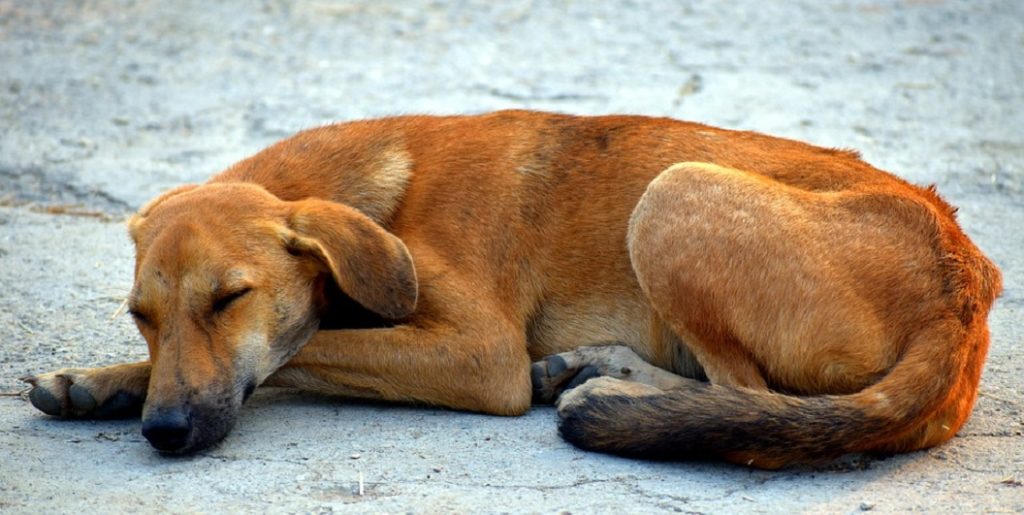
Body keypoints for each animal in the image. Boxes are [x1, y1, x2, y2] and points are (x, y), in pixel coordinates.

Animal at [22, 110, 999, 466]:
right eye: (141, 317)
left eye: (231, 299)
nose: (165, 433)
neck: (387, 194)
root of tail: (964, 285)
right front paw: (99, 381)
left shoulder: (480, 355)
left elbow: (306, 347)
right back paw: (599, 368)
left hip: (672, 194)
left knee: (752, 401)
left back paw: (619, 394)